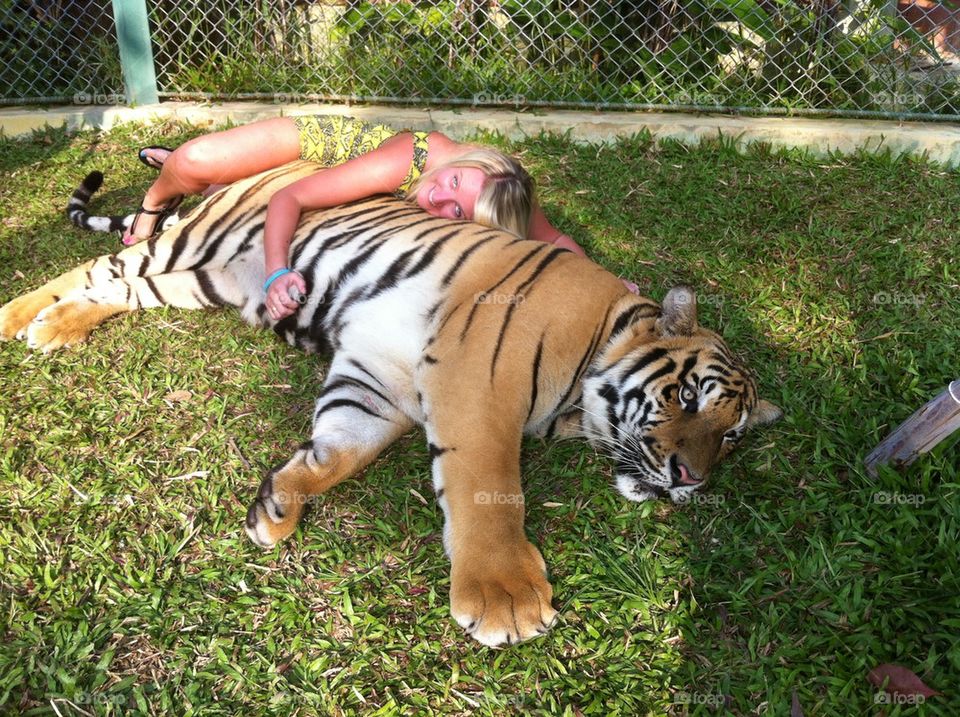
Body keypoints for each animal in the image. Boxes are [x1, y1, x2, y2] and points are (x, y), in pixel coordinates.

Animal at [0, 160, 781, 647]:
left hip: (206, 280)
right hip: (190, 244)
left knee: (122, 291)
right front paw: (506, 598)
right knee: (96, 267)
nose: (691, 478)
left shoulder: (379, 382)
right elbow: (487, 487)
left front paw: (278, 503)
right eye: (688, 395)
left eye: (732, 437)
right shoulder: (475, 382)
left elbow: (339, 447)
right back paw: (20, 315)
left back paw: (57, 326)